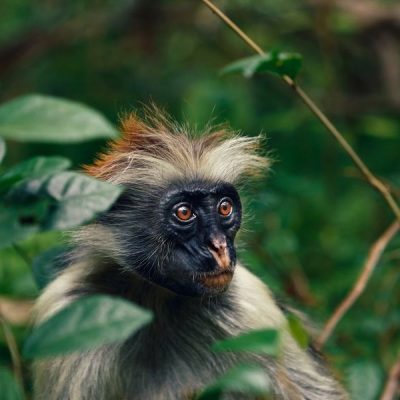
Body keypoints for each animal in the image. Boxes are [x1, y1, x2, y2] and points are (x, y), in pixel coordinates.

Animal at [31, 108, 346, 400]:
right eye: (184, 213)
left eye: (224, 208)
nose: (219, 246)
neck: (155, 300)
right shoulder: (66, 312)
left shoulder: (249, 302)